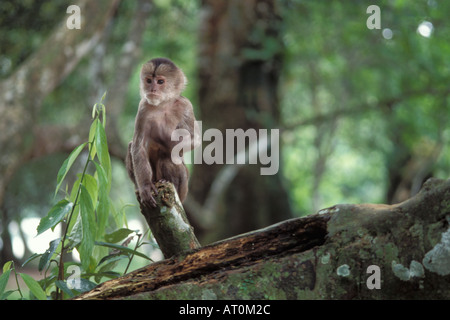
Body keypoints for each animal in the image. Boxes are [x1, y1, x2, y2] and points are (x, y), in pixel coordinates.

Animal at [125, 57, 199, 208]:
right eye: (149, 81)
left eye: (160, 82)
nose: (152, 89)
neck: (162, 104)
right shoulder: (143, 108)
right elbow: (138, 146)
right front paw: (145, 187)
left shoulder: (186, 105)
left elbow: (195, 139)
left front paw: (163, 136)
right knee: (131, 146)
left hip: (184, 189)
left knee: (168, 156)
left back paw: (168, 182)